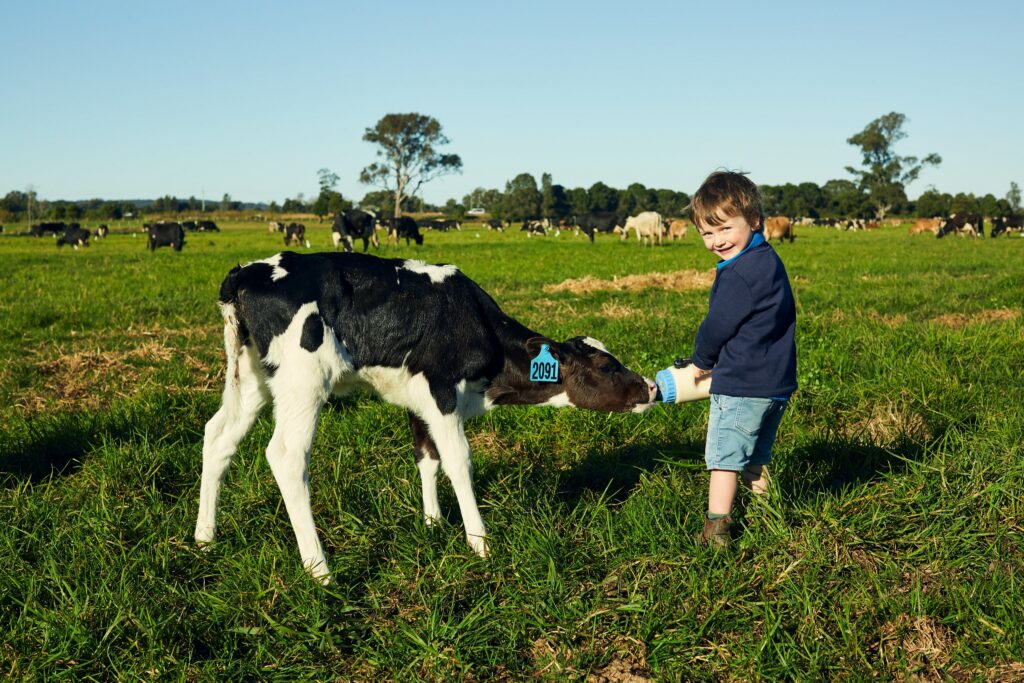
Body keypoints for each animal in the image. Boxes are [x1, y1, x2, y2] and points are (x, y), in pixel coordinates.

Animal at [193, 250, 655, 581]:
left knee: (218, 436)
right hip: (303, 381)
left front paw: (432, 524)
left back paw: (204, 540)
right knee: (287, 457)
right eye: (606, 366)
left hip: (251, 375)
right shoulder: (441, 389)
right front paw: (480, 543)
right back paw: (320, 571)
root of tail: (246, 271)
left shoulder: (420, 401)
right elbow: (459, 462)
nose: (651, 387)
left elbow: (427, 457)